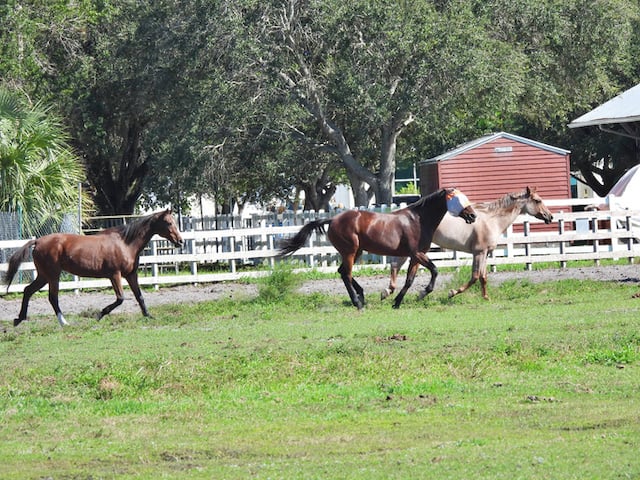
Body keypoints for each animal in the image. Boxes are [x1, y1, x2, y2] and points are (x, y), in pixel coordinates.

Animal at [3, 209, 184, 327]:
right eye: (168, 222)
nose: (180, 241)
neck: (125, 243)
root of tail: (38, 241)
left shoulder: (131, 275)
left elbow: (139, 296)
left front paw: (148, 316)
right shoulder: (115, 275)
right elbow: (121, 298)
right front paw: (99, 314)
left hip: (43, 276)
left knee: (28, 290)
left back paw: (19, 319)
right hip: (53, 276)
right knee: (52, 298)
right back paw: (64, 322)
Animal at [279, 188, 477, 309]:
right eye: (458, 199)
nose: (473, 216)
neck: (418, 220)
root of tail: (333, 219)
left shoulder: (414, 257)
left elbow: (409, 280)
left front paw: (396, 302)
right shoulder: (417, 253)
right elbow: (435, 270)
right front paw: (422, 293)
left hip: (356, 251)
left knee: (342, 271)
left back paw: (361, 296)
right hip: (350, 251)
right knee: (346, 273)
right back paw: (357, 302)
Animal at [381, 187, 553, 302]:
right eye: (537, 200)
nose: (549, 216)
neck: (491, 220)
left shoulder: (485, 253)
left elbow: (483, 277)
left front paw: (486, 297)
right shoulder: (479, 253)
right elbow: (475, 277)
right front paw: (452, 293)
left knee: (395, 265)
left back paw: (388, 292)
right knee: (395, 265)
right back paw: (390, 292)